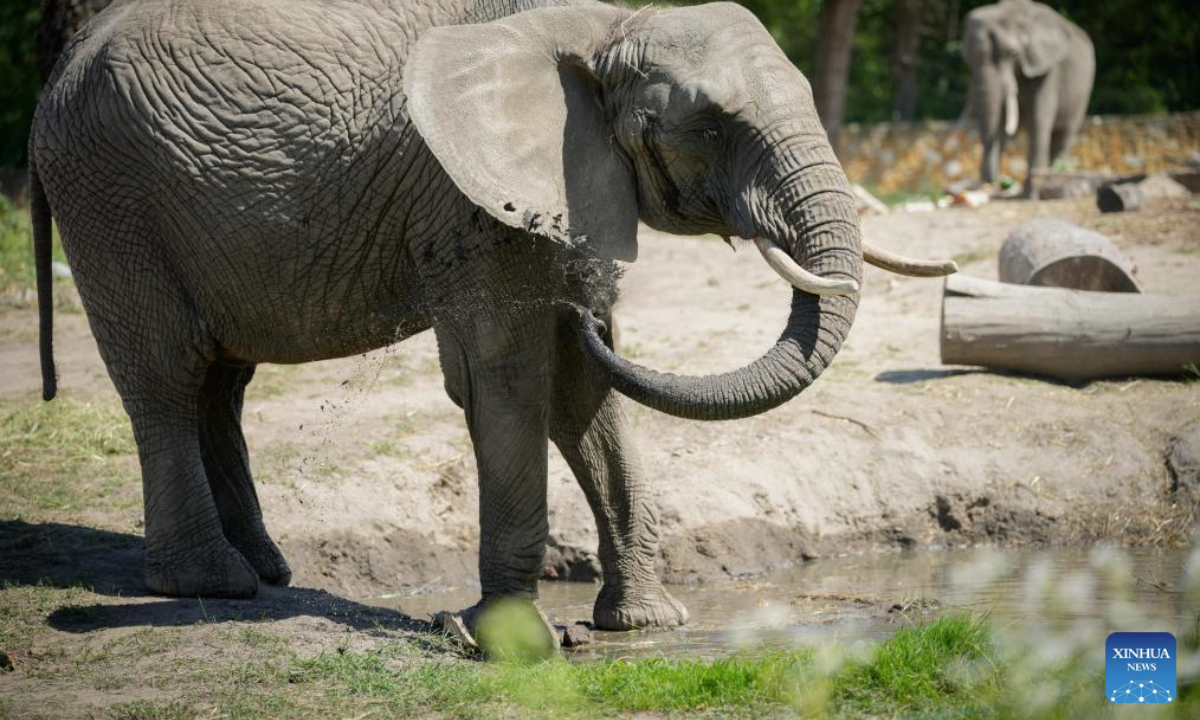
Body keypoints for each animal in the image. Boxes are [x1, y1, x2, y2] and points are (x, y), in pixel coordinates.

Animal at [29, 0, 954, 632]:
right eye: (707, 126)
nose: (597, 315)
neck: (607, 27)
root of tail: (62, 65)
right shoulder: (469, 203)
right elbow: (506, 376)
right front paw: (499, 639)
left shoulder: (571, 185)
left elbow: (581, 391)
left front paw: (643, 625)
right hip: (111, 201)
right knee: (166, 376)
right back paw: (211, 584)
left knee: (222, 382)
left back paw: (267, 571)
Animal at [962, 0, 1094, 194]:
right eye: (965, 57)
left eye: (1012, 53)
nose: (990, 183)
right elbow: (999, 121)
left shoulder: (1047, 69)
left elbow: (1039, 118)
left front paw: (1033, 186)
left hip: (1083, 92)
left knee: (1065, 134)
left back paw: (1054, 174)